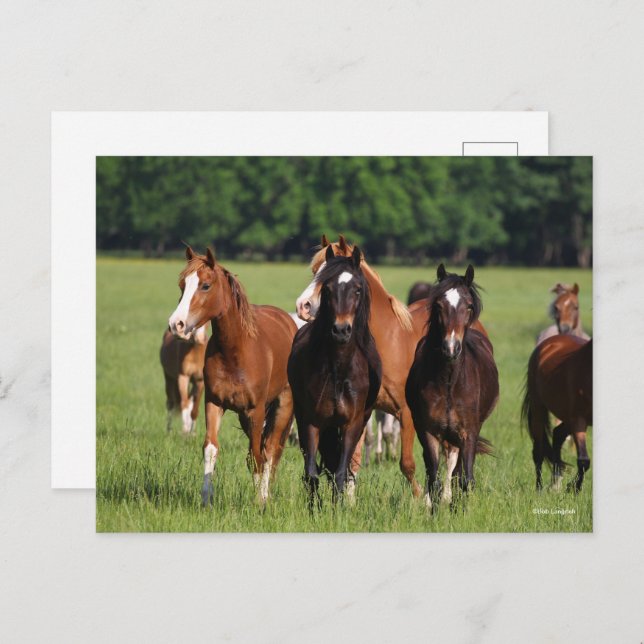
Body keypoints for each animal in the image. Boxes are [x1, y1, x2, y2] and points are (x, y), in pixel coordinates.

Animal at [168, 246, 297, 506]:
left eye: (205, 285)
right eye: (182, 285)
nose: (176, 324)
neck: (236, 351)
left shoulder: (255, 411)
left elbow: (258, 456)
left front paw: (259, 503)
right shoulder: (214, 403)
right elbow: (210, 448)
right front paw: (206, 499)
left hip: (283, 405)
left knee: (270, 449)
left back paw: (265, 495)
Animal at [288, 246, 382, 505]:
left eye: (357, 289)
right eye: (327, 289)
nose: (341, 330)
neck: (338, 370)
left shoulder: (352, 423)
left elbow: (340, 473)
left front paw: (337, 508)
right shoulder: (311, 421)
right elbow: (311, 473)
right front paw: (315, 509)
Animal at [295, 234, 488, 497]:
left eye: (328, 277)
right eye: (316, 272)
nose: (302, 306)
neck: (387, 341)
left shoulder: (406, 413)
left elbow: (407, 464)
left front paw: (422, 499)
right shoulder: (361, 412)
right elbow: (353, 460)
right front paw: (350, 500)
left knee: (452, 453)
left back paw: (447, 495)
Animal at [406, 264, 498, 509]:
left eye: (469, 306)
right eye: (439, 305)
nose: (451, 348)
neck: (449, 382)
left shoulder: (469, 432)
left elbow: (465, 479)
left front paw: (461, 510)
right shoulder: (428, 431)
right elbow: (434, 480)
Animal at [522, 334, 592, 492]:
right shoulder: (579, 419)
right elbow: (583, 460)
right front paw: (574, 489)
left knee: (558, 434)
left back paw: (555, 484)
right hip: (539, 409)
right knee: (538, 452)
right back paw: (540, 489)